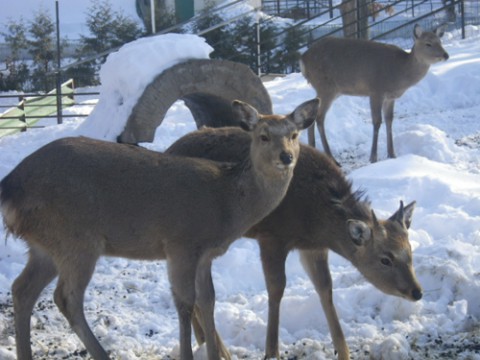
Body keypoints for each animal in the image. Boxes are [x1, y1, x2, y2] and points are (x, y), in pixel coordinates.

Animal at [0, 98, 318, 360]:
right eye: (263, 136)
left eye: (294, 135)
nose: (286, 157)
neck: (227, 206)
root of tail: (10, 186)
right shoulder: (181, 243)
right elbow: (185, 302)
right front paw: (189, 355)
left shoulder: (205, 254)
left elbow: (208, 299)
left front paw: (215, 355)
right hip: (75, 238)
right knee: (66, 297)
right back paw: (101, 354)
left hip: (45, 244)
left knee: (22, 289)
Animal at [167, 125, 422, 358]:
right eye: (385, 259)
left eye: (410, 251)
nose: (417, 292)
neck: (316, 220)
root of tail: (168, 149)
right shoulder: (272, 237)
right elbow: (276, 289)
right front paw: (271, 351)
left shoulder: (313, 248)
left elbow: (325, 288)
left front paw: (344, 351)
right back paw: (219, 349)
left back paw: (204, 340)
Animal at [300, 25, 450, 165]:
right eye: (428, 43)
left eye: (440, 41)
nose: (446, 55)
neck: (400, 74)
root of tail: (303, 59)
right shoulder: (376, 91)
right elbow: (377, 122)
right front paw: (373, 157)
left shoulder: (390, 97)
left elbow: (389, 120)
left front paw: (392, 154)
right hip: (326, 87)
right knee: (320, 117)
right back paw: (331, 158)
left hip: (329, 89)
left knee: (313, 112)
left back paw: (313, 148)